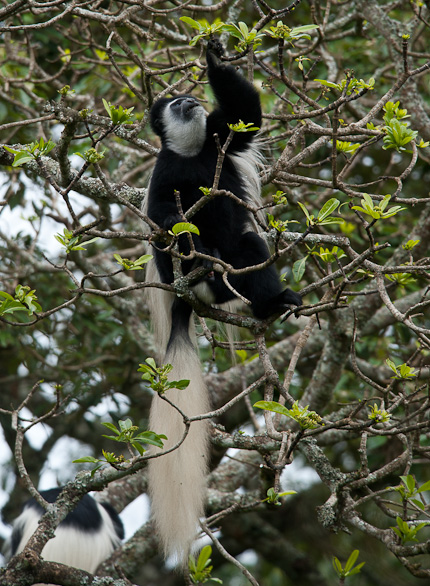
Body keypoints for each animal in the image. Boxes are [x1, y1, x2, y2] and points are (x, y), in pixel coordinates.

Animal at [144, 40, 302, 560]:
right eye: (175, 104)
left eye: (188, 97)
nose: (190, 100)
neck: (193, 152)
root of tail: (184, 300)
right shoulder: (163, 174)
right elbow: (164, 218)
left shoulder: (220, 141)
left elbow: (245, 117)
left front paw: (213, 54)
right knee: (189, 245)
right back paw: (202, 261)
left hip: (244, 261)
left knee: (251, 247)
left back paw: (272, 302)